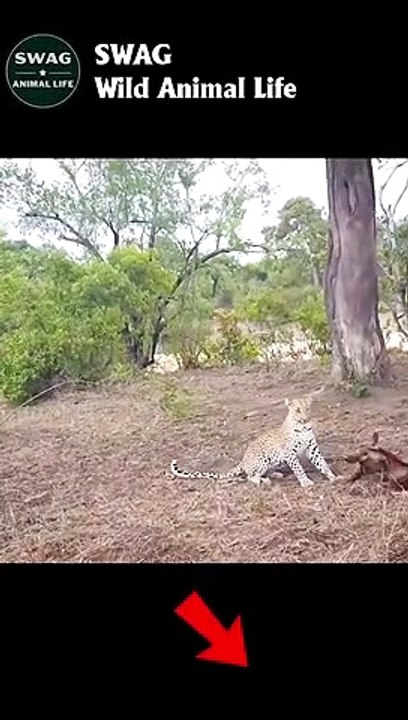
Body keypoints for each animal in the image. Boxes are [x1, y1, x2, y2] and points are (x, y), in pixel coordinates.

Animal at [170, 394, 337, 488]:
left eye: (308, 408)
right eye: (297, 410)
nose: (305, 418)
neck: (303, 428)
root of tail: (243, 460)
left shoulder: (312, 449)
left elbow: (322, 464)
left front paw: (333, 477)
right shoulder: (290, 453)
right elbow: (299, 469)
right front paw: (305, 482)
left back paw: (275, 475)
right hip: (262, 459)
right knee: (250, 476)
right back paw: (262, 481)